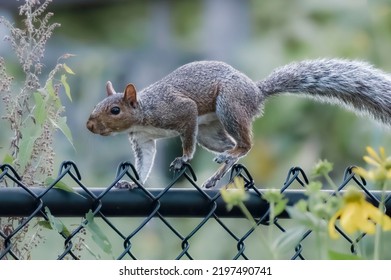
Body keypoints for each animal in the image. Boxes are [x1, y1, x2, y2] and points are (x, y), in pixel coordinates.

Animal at [86, 58, 391, 190]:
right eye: (97, 105)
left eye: (115, 110)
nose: (89, 126)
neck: (144, 111)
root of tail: (256, 92)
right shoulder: (143, 140)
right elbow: (145, 164)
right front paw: (133, 183)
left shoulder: (179, 110)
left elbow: (186, 139)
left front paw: (183, 158)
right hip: (210, 132)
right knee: (233, 148)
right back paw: (220, 171)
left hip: (229, 106)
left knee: (246, 144)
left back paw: (231, 156)